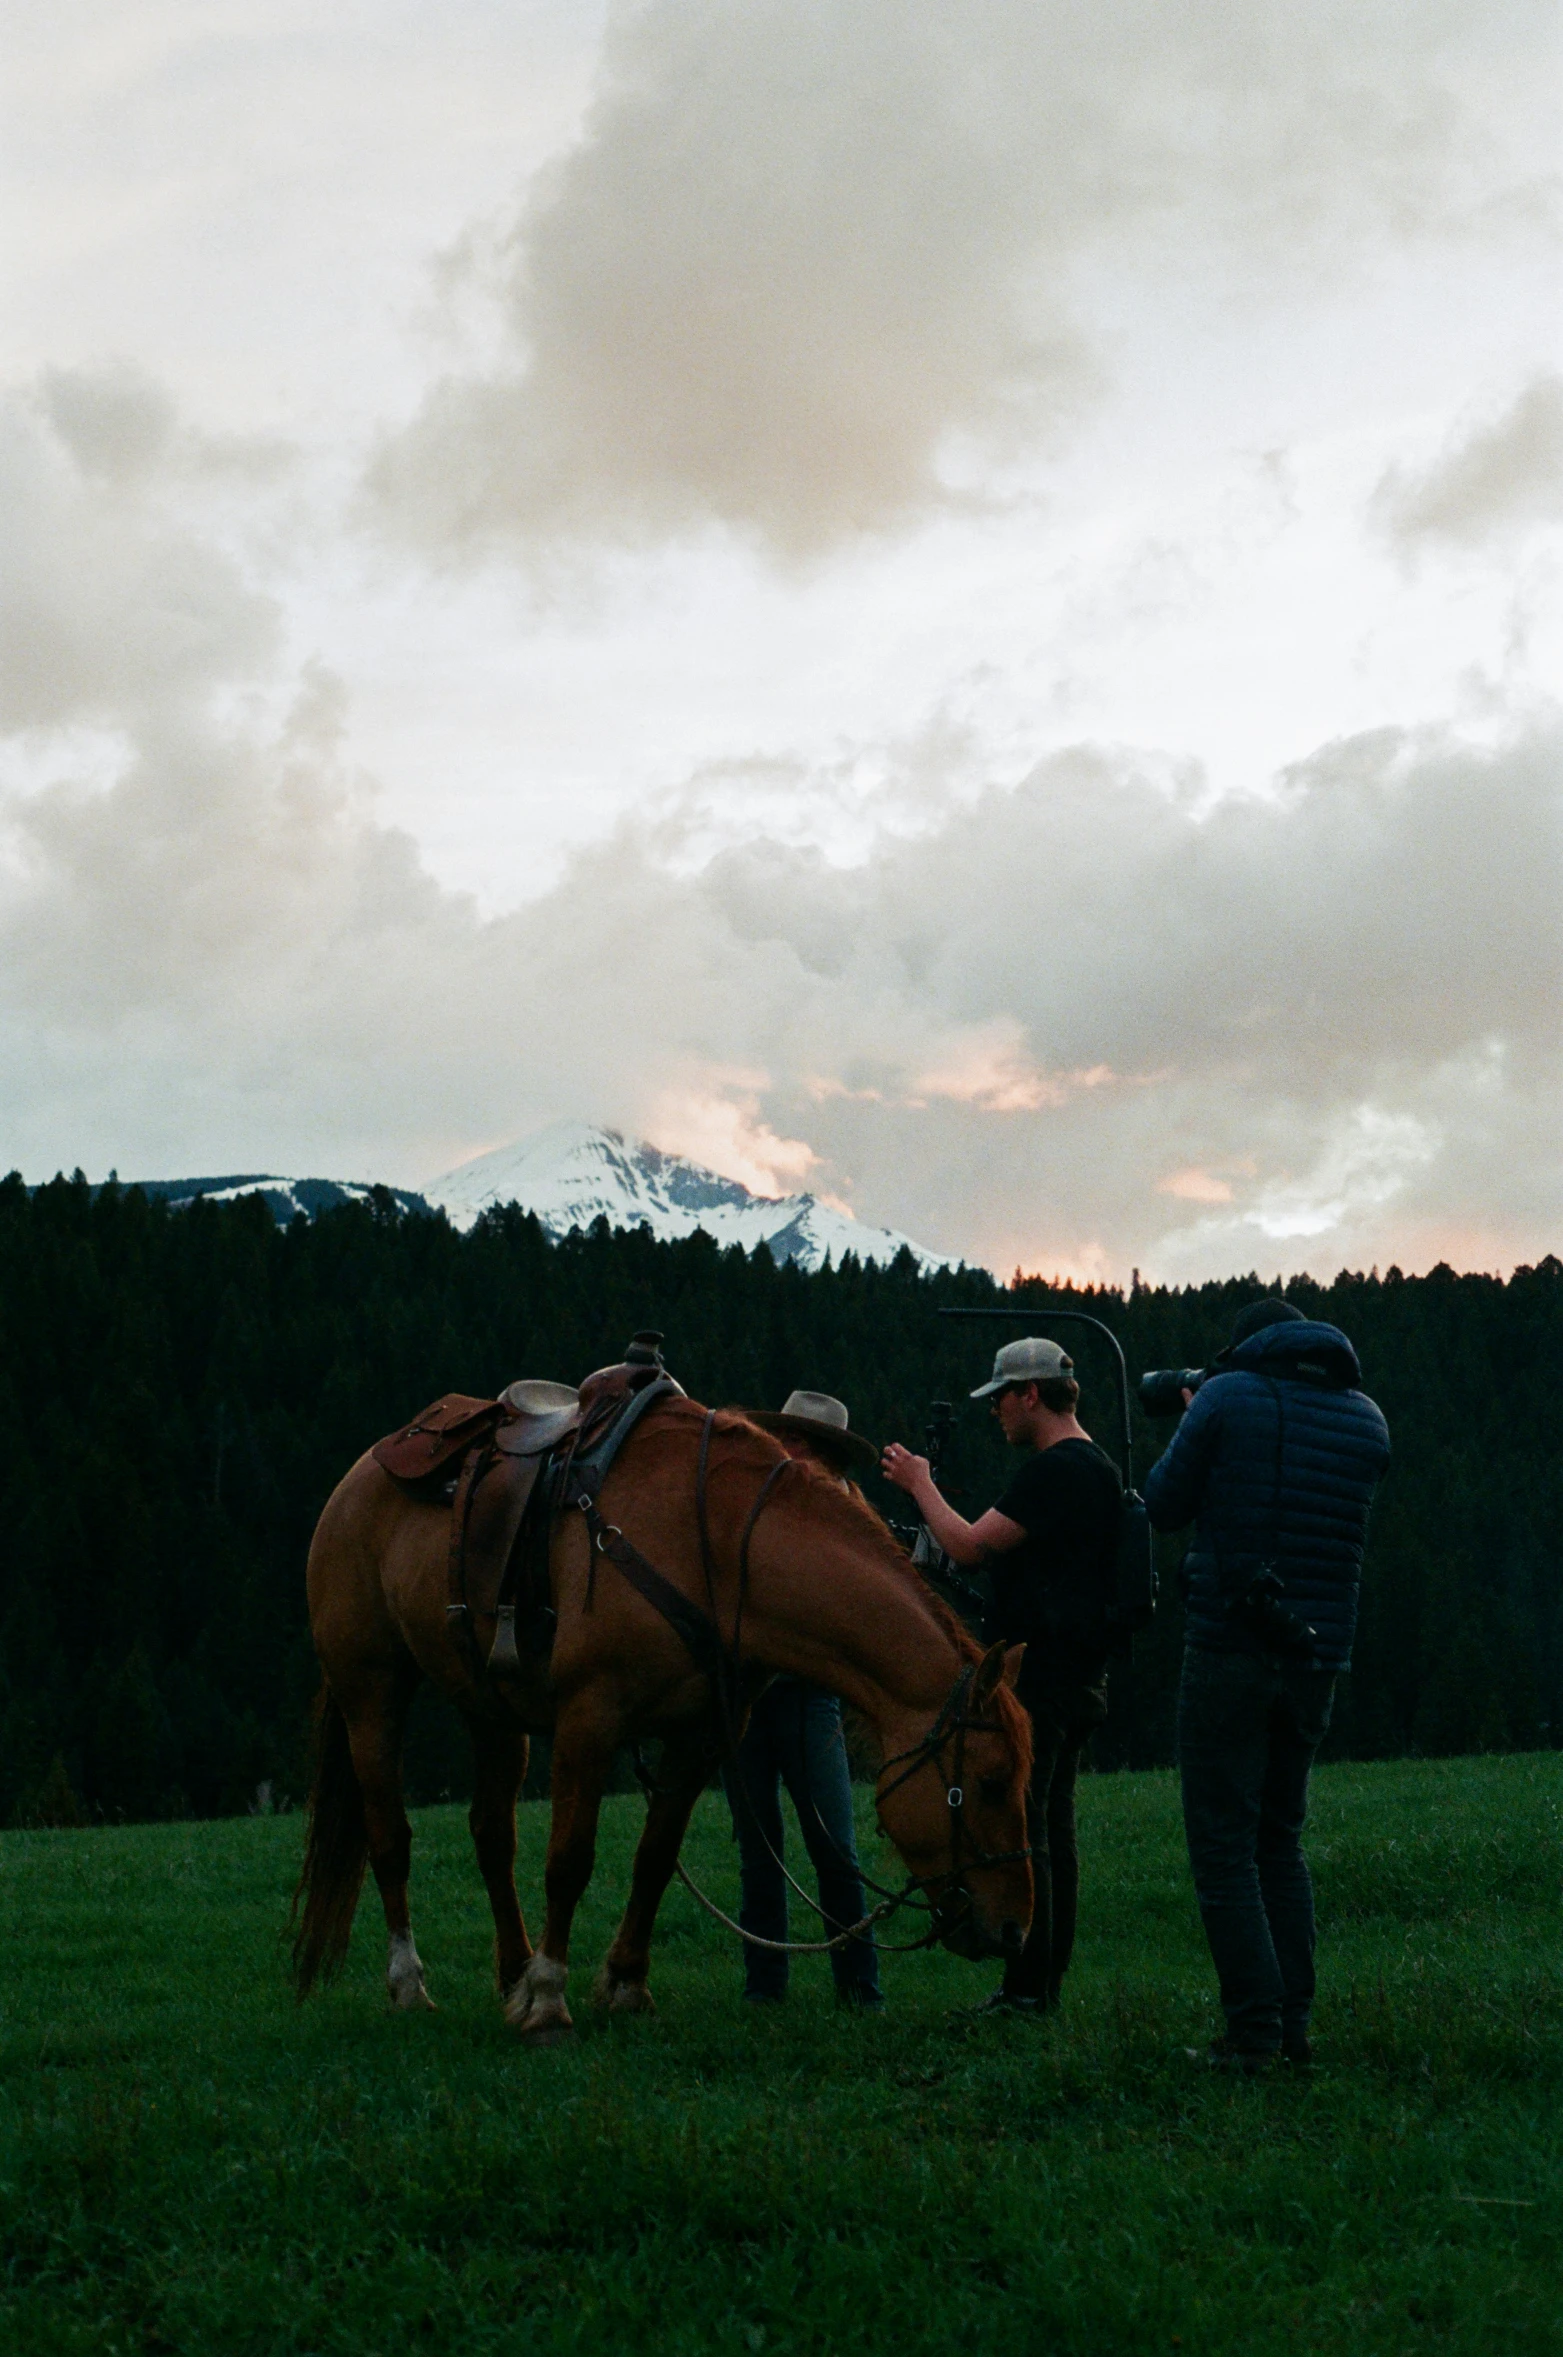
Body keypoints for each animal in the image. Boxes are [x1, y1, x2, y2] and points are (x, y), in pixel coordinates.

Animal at [294, 1385, 1032, 2036]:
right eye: (990, 1783)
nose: (1015, 1929)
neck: (719, 1543)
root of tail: (360, 1476)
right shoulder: (588, 1719)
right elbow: (569, 1860)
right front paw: (548, 2000)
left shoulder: (700, 1736)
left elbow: (654, 1857)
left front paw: (623, 1985)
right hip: (371, 1688)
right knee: (390, 1837)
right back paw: (410, 1985)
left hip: (490, 1707)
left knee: (491, 1835)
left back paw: (510, 1972)